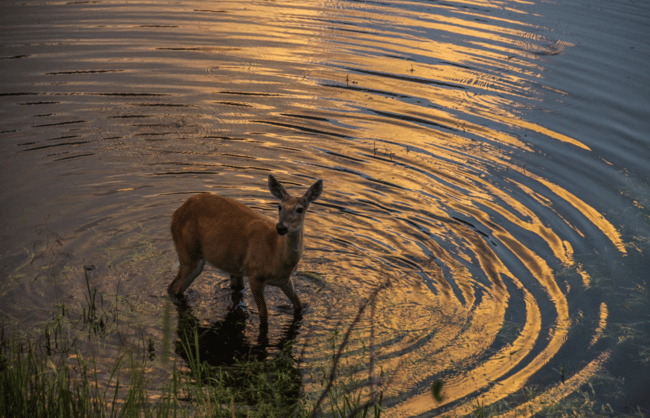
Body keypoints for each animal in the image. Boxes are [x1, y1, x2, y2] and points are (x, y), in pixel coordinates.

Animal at [166, 175, 320, 328]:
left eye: (300, 209)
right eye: (279, 206)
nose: (281, 227)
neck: (276, 254)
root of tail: (176, 213)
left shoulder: (285, 281)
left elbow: (299, 306)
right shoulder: (255, 275)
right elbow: (264, 316)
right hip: (189, 254)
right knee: (176, 288)